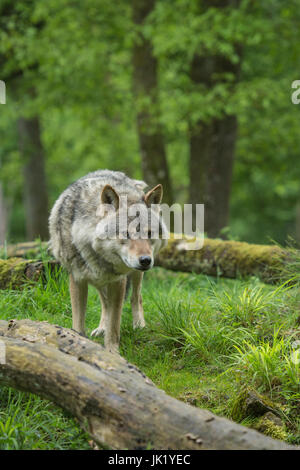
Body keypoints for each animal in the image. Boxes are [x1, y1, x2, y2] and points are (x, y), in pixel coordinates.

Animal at [48, 170, 168, 352]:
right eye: (126, 234)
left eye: (149, 234)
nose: (146, 260)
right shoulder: (77, 279)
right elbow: (79, 322)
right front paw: (78, 340)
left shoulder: (118, 281)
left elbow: (114, 325)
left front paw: (112, 352)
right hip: (99, 281)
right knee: (105, 304)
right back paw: (101, 328)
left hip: (133, 276)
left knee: (136, 297)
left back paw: (139, 325)